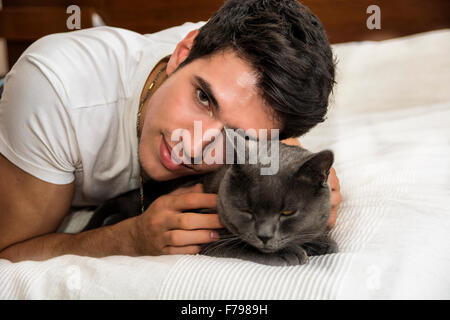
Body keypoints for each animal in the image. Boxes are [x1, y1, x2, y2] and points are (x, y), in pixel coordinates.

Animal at [83, 144, 338, 266]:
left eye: (287, 212)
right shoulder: (203, 237)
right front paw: (291, 252)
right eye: (247, 211)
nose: (264, 236)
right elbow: (242, 245)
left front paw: (320, 242)